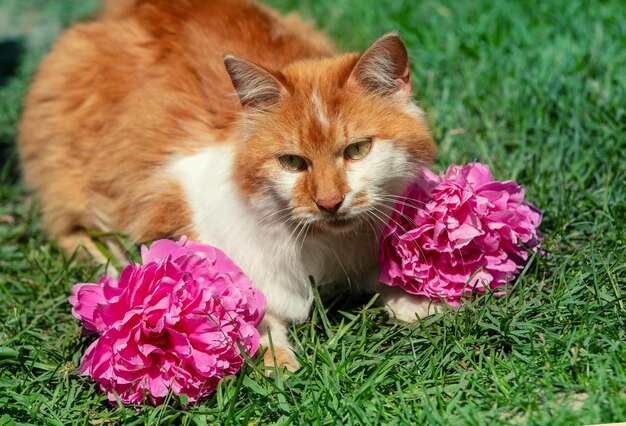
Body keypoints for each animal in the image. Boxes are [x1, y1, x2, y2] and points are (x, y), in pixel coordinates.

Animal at [20, 0, 438, 370]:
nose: (329, 202)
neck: (327, 247)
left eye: (357, 150)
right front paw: (275, 361)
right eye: (292, 162)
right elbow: (243, 308)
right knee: (77, 234)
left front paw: (417, 303)